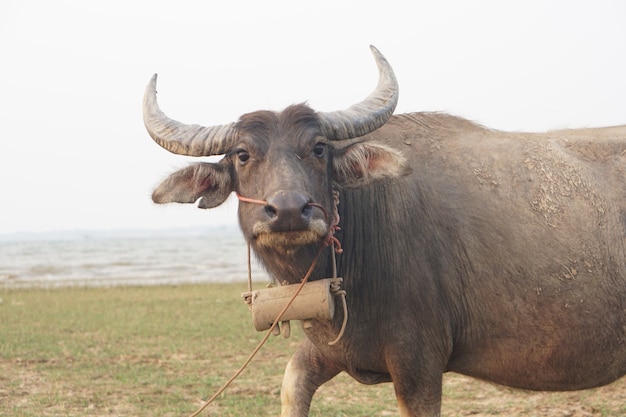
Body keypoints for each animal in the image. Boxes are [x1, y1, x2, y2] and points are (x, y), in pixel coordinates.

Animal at [144, 45, 624, 412]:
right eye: (243, 155)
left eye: (318, 148)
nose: (289, 211)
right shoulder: (331, 348)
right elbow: (292, 385)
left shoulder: (419, 368)